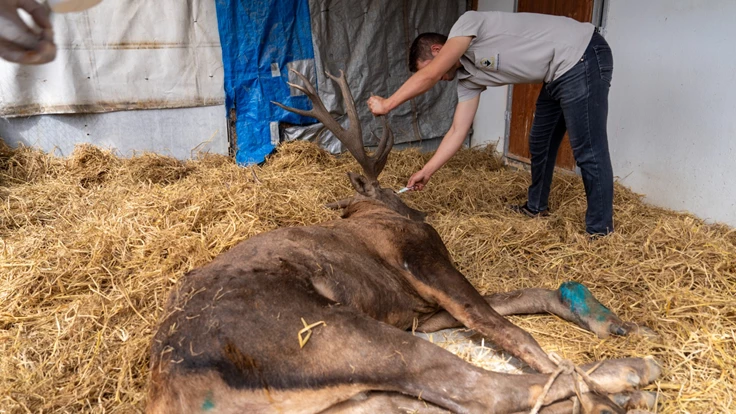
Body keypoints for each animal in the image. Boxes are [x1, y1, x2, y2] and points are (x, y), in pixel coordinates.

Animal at [147, 69, 660, 412]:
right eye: (394, 195)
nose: (418, 209)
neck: (370, 212)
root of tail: (176, 390)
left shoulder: (420, 310)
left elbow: (518, 298)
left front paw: (612, 321)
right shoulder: (423, 262)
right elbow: (503, 325)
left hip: (362, 394)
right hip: (334, 334)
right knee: (478, 389)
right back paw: (628, 377)